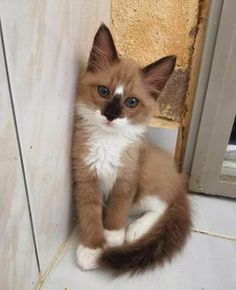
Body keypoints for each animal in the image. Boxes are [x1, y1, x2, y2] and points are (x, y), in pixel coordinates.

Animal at [73, 23, 193, 274]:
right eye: (103, 91)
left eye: (131, 102)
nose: (111, 115)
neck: (108, 142)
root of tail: (178, 178)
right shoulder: (86, 178)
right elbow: (90, 215)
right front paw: (92, 248)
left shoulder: (126, 179)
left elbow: (117, 211)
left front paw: (112, 238)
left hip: (146, 169)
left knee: (163, 204)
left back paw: (136, 230)